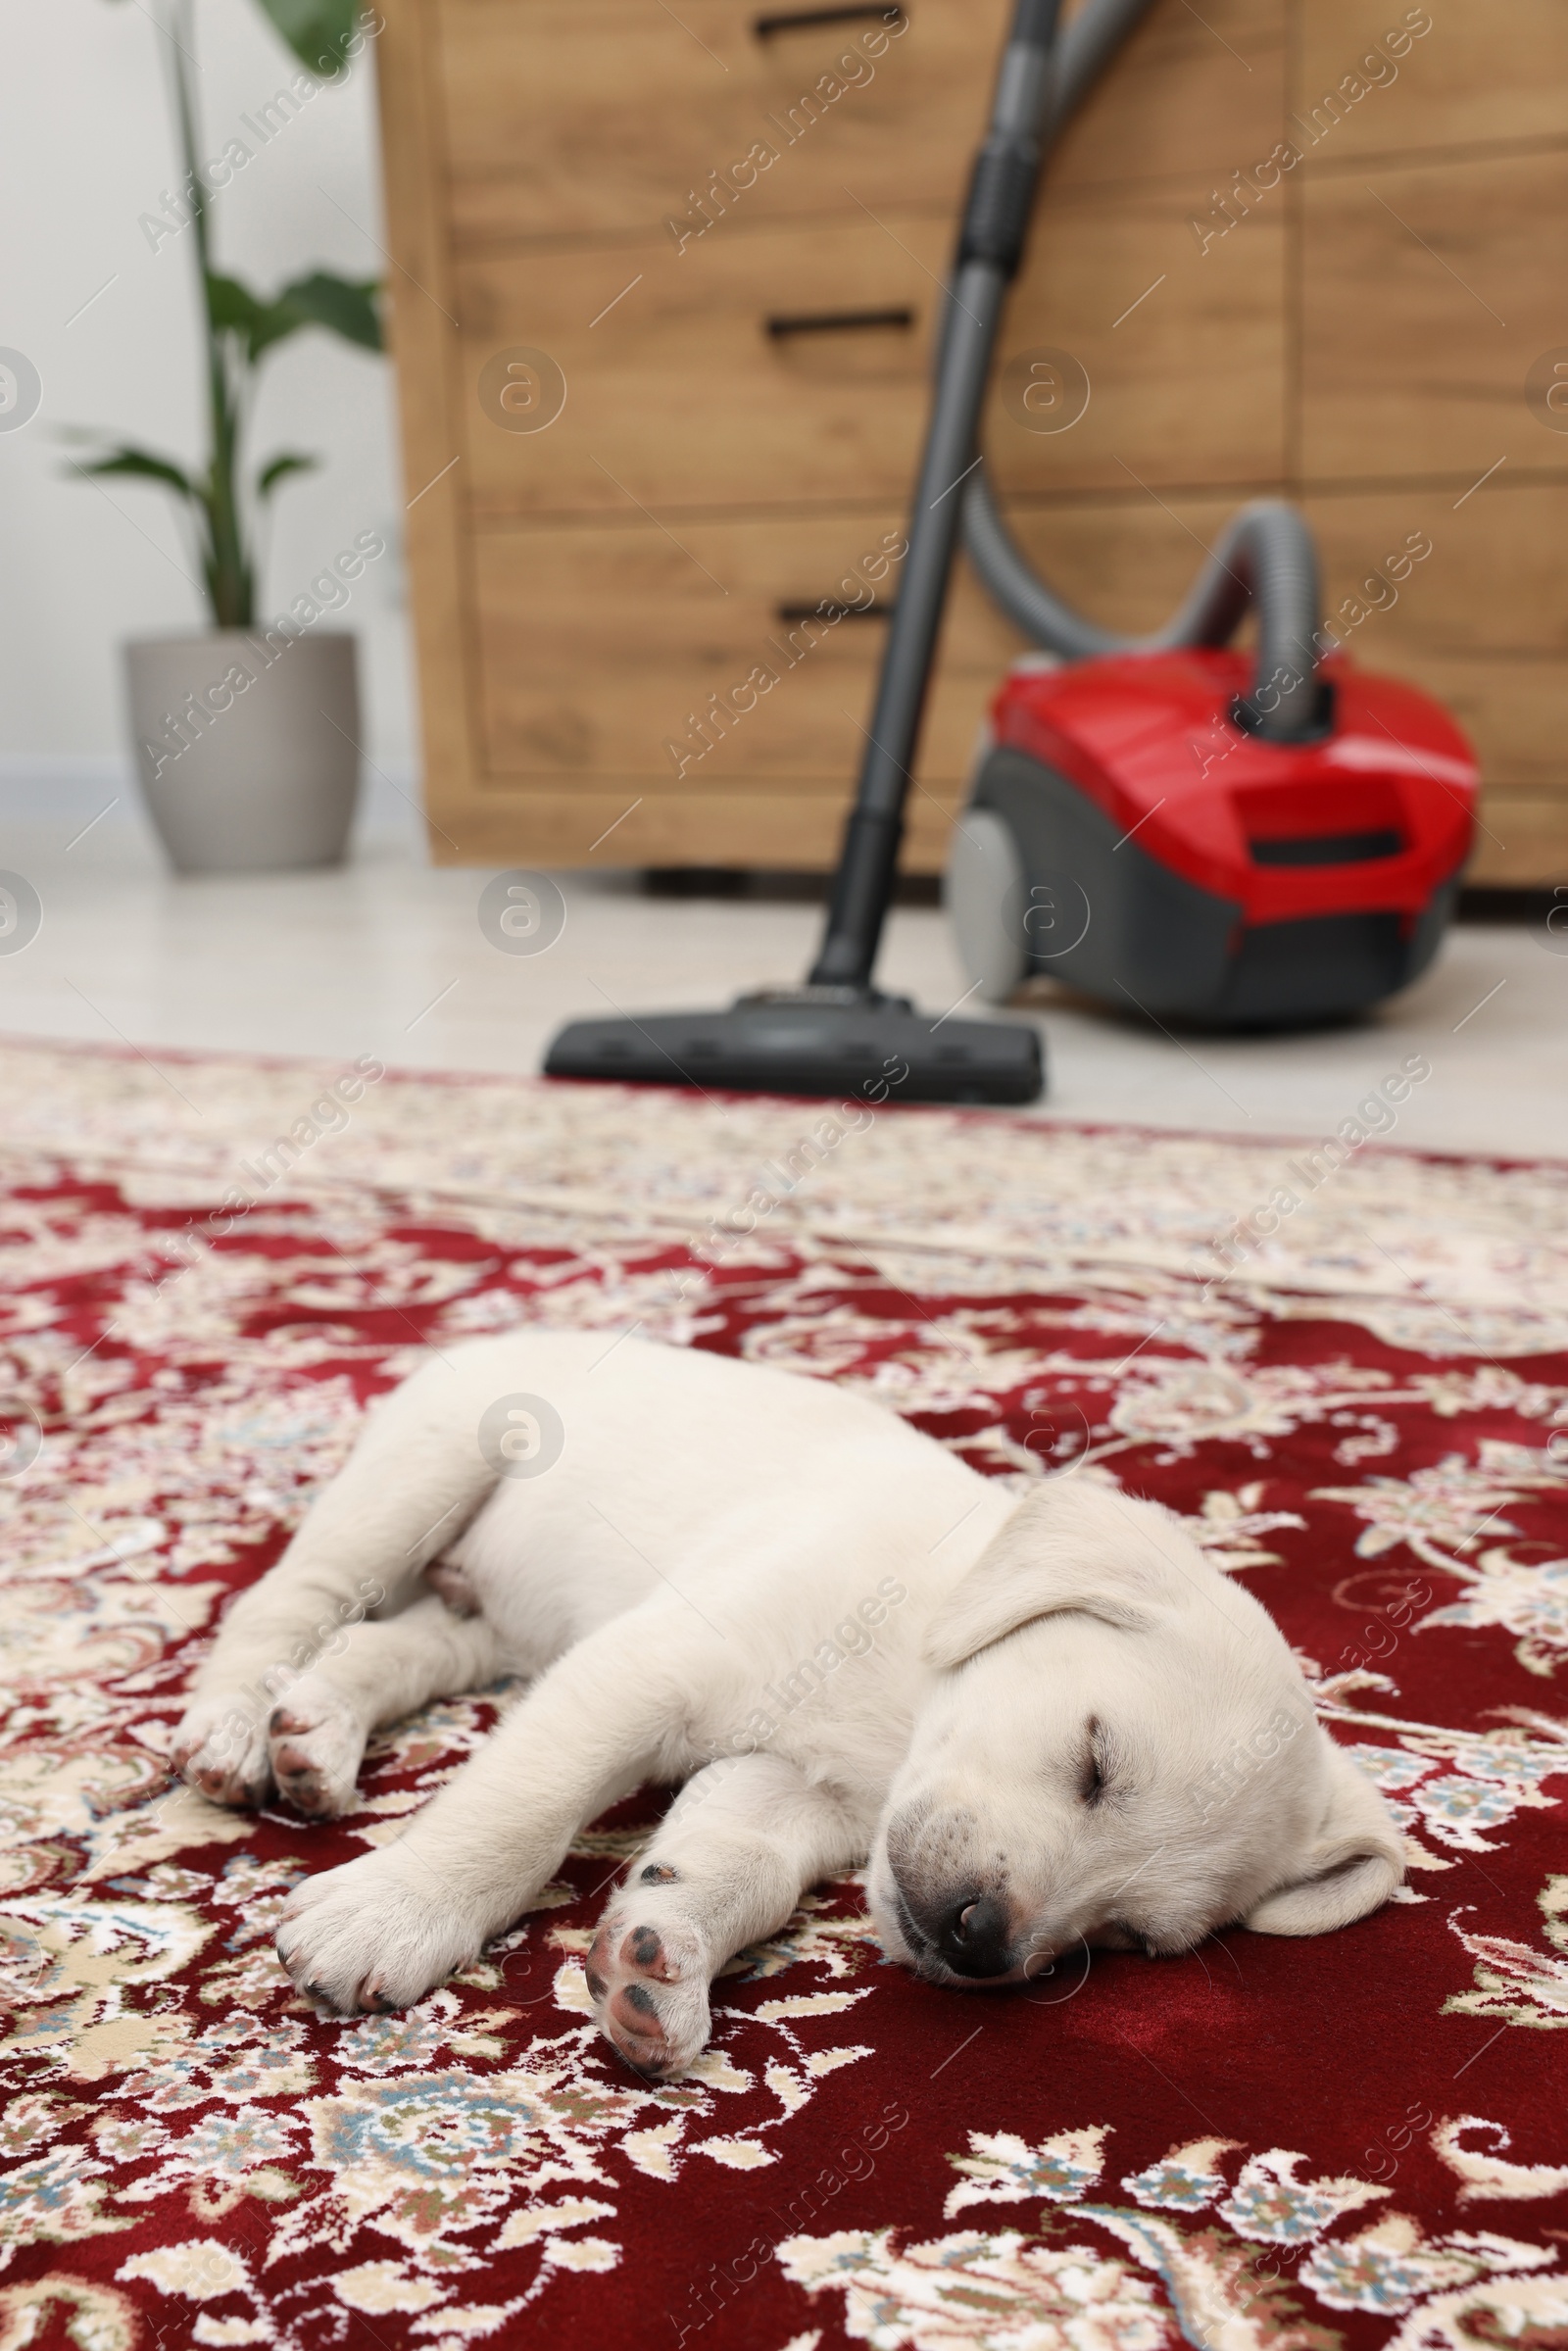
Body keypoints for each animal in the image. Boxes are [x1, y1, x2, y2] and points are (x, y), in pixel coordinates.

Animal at [174, 1345, 1410, 2078]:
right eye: (1094, 1759)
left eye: (1129, 1937)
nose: (983, 1941)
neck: (906, 1692)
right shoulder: (650, 1666)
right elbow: (521, 1811)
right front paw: (392, 1911)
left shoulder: (791, 1790)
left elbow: (735, 1868)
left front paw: (660, 1967)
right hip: (424, 1475)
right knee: (287, 1603)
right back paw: (233, 1729)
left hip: (495, 1623)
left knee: (378, 1642)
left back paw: (315, 1735)